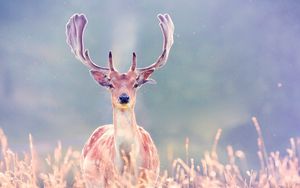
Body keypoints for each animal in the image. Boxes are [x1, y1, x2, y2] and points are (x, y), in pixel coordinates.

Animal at [65, 12, 173, 187]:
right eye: (110, 83)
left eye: (135, 83)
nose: (124, 97)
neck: (129, 168)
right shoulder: (110, 181)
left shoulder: (149, 179)